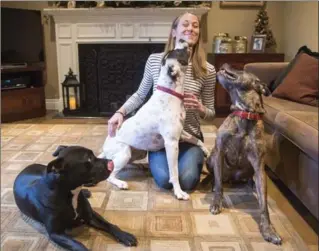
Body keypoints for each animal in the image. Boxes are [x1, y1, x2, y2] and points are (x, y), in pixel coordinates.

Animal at [100, 40, 210, 201]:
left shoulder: (181, 133)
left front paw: (206, 150)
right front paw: (179, 192)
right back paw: (121, 183)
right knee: (111, 174)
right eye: (178, 51)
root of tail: (104, 149)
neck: (171, 92)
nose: (182, 40)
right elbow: (174, 172)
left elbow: (197, 140)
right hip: (124, 152)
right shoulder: (171, 143)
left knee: (119, 164)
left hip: (137, 152)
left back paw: (139, 166)